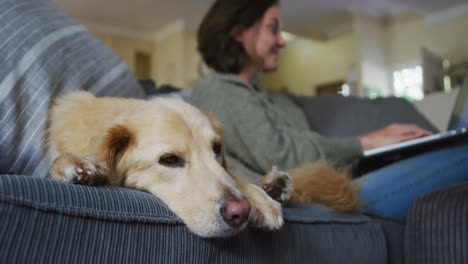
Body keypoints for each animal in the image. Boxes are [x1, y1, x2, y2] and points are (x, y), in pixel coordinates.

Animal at [47, 92, 358, 238]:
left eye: (216, 149)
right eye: (169, 160)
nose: (241, 212)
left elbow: (233, 177)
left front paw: (261, 199)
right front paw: (75, 164)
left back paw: (274, 184)